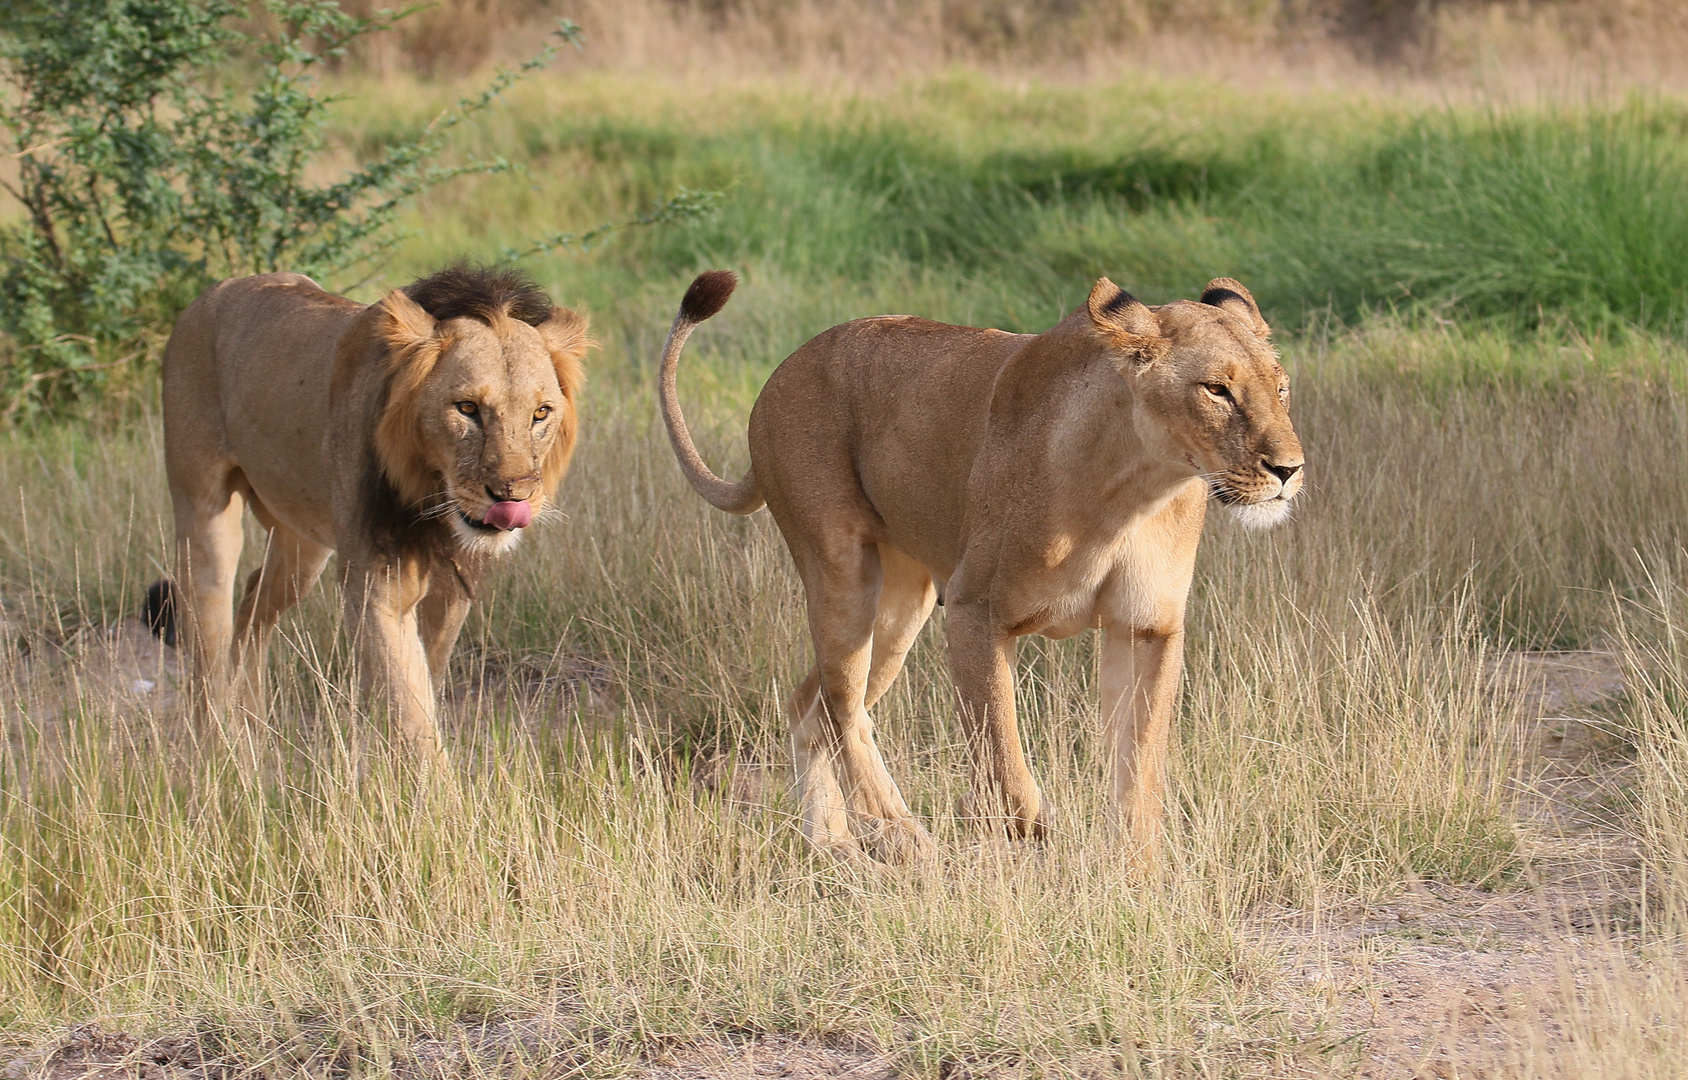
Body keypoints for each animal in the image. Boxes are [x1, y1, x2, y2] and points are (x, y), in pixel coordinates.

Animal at [158, 264, 590, 756]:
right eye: (467, 408)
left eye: (541, 413)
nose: (513, 496)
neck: (431, 491)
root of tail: (210, 294)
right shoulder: (377, 584)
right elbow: (408, 703)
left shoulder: (453, 586)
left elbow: (425, 679)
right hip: (204, 511)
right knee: (207, 630)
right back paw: (217, 746)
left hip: (303, 541)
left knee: (253, 603)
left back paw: (251, 727)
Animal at [658, 273, 1303, 864]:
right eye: (1217, 390)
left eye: (1281, 388)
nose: (1290, 469)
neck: (1135, 487)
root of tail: (782, 371)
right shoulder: (975, 610)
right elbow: (1002, 756)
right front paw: (1033, 830)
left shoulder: (1148, 627)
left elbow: (1141, 765)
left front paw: (1135, 873)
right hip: (839, 564)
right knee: (842, 704)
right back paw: (900, 832)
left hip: (902, 604)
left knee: (811, 708)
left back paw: (833, 843)